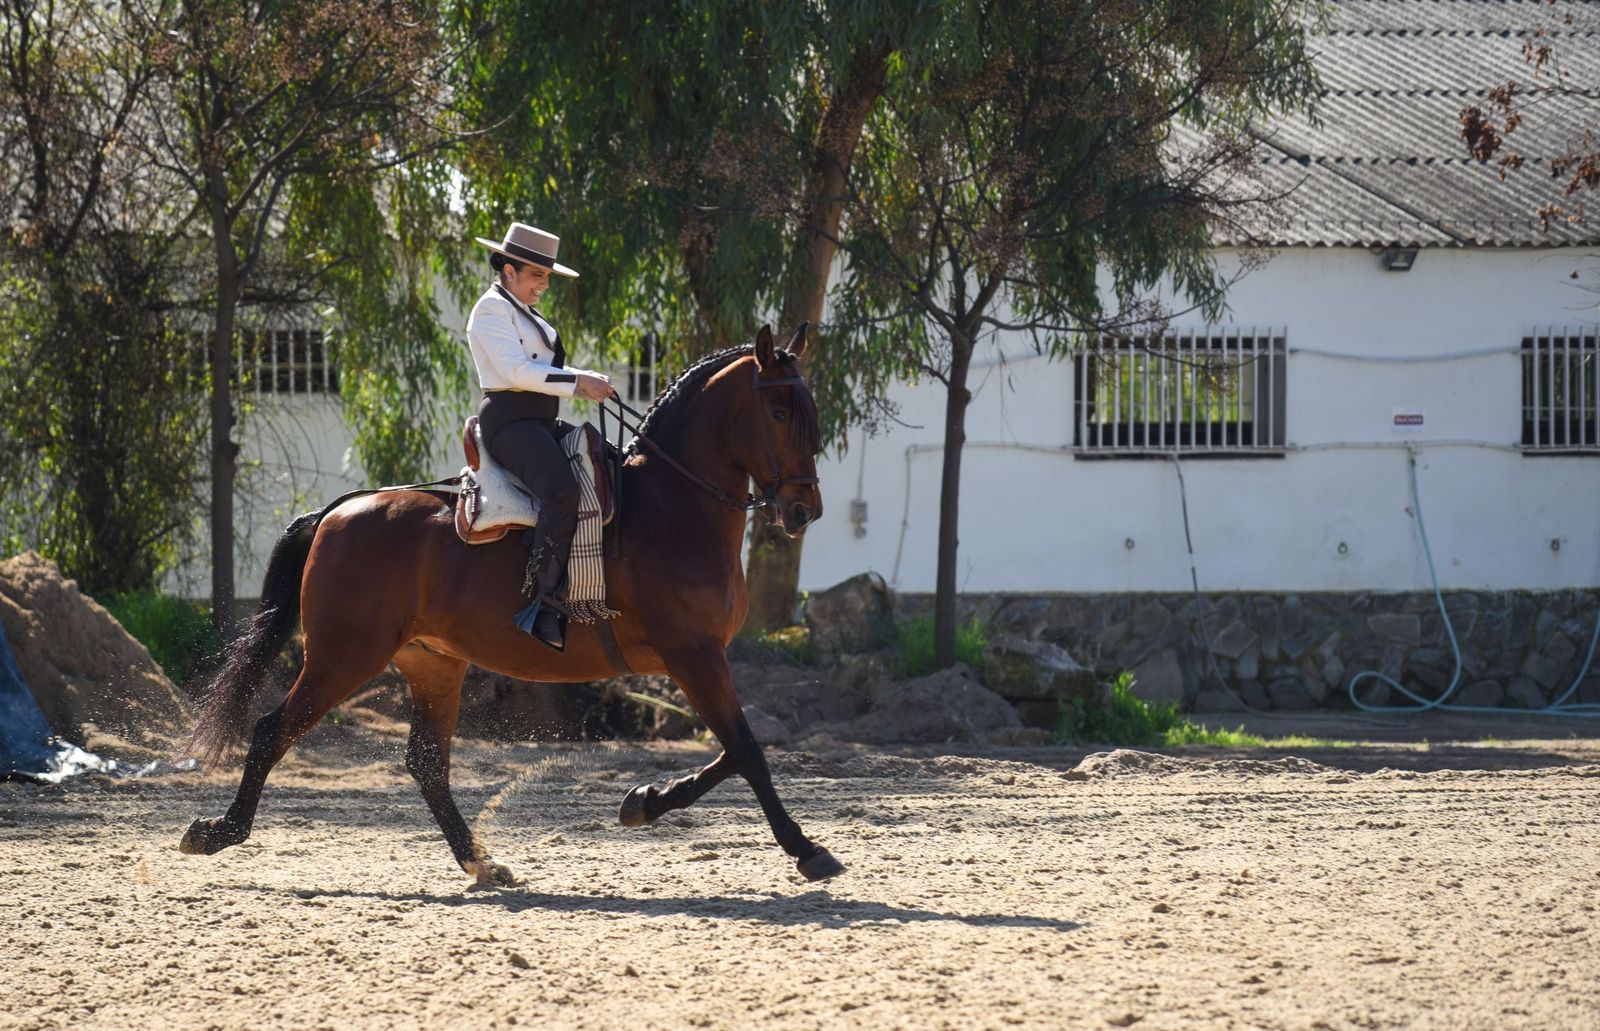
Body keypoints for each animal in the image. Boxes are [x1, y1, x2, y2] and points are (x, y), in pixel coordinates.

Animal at [177, 323, 844, 884]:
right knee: (272, 730)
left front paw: (643, 802)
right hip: (343, 658)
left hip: (433, 664)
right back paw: (216, 832)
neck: (671, 505)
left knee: (426, 763)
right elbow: (748, 750)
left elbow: (733, 750)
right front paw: (807, 850)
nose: (804, 510)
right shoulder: (695, 655)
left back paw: (481, 861)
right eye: (779, 411)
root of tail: (338, 511)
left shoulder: (697, 660)